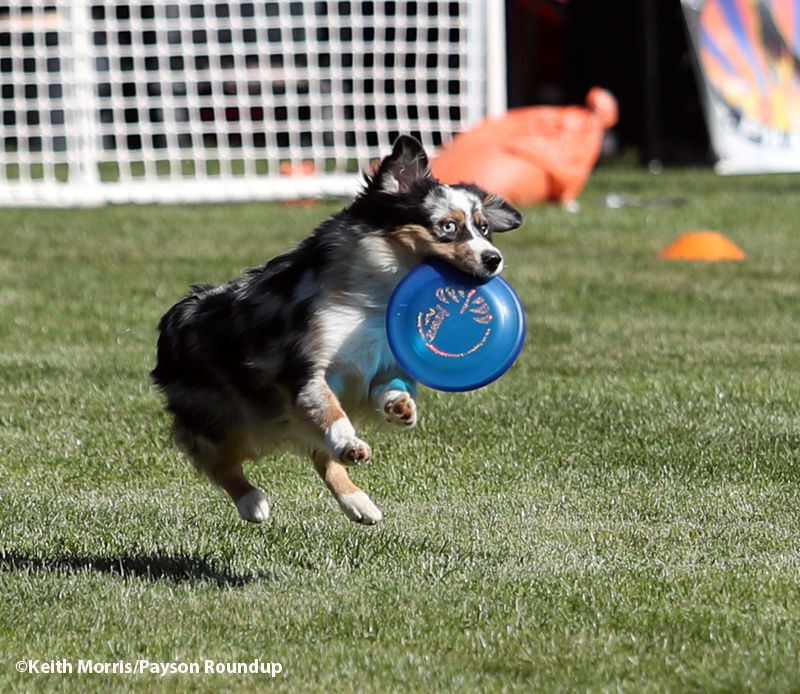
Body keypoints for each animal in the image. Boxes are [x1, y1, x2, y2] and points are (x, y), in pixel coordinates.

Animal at [151, 136, 524, 528]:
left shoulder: (383, 363)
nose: (494, 259)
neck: (376, 292)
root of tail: (176, 315)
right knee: (219, 462)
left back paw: (358, 503)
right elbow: (331, 414)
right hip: (222, 417)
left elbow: (385, 392)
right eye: (448, 227)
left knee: (320, 457)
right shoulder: (304, 370)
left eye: (484, 229)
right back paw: (252, 501)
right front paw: (350, 442)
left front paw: (401, 408)